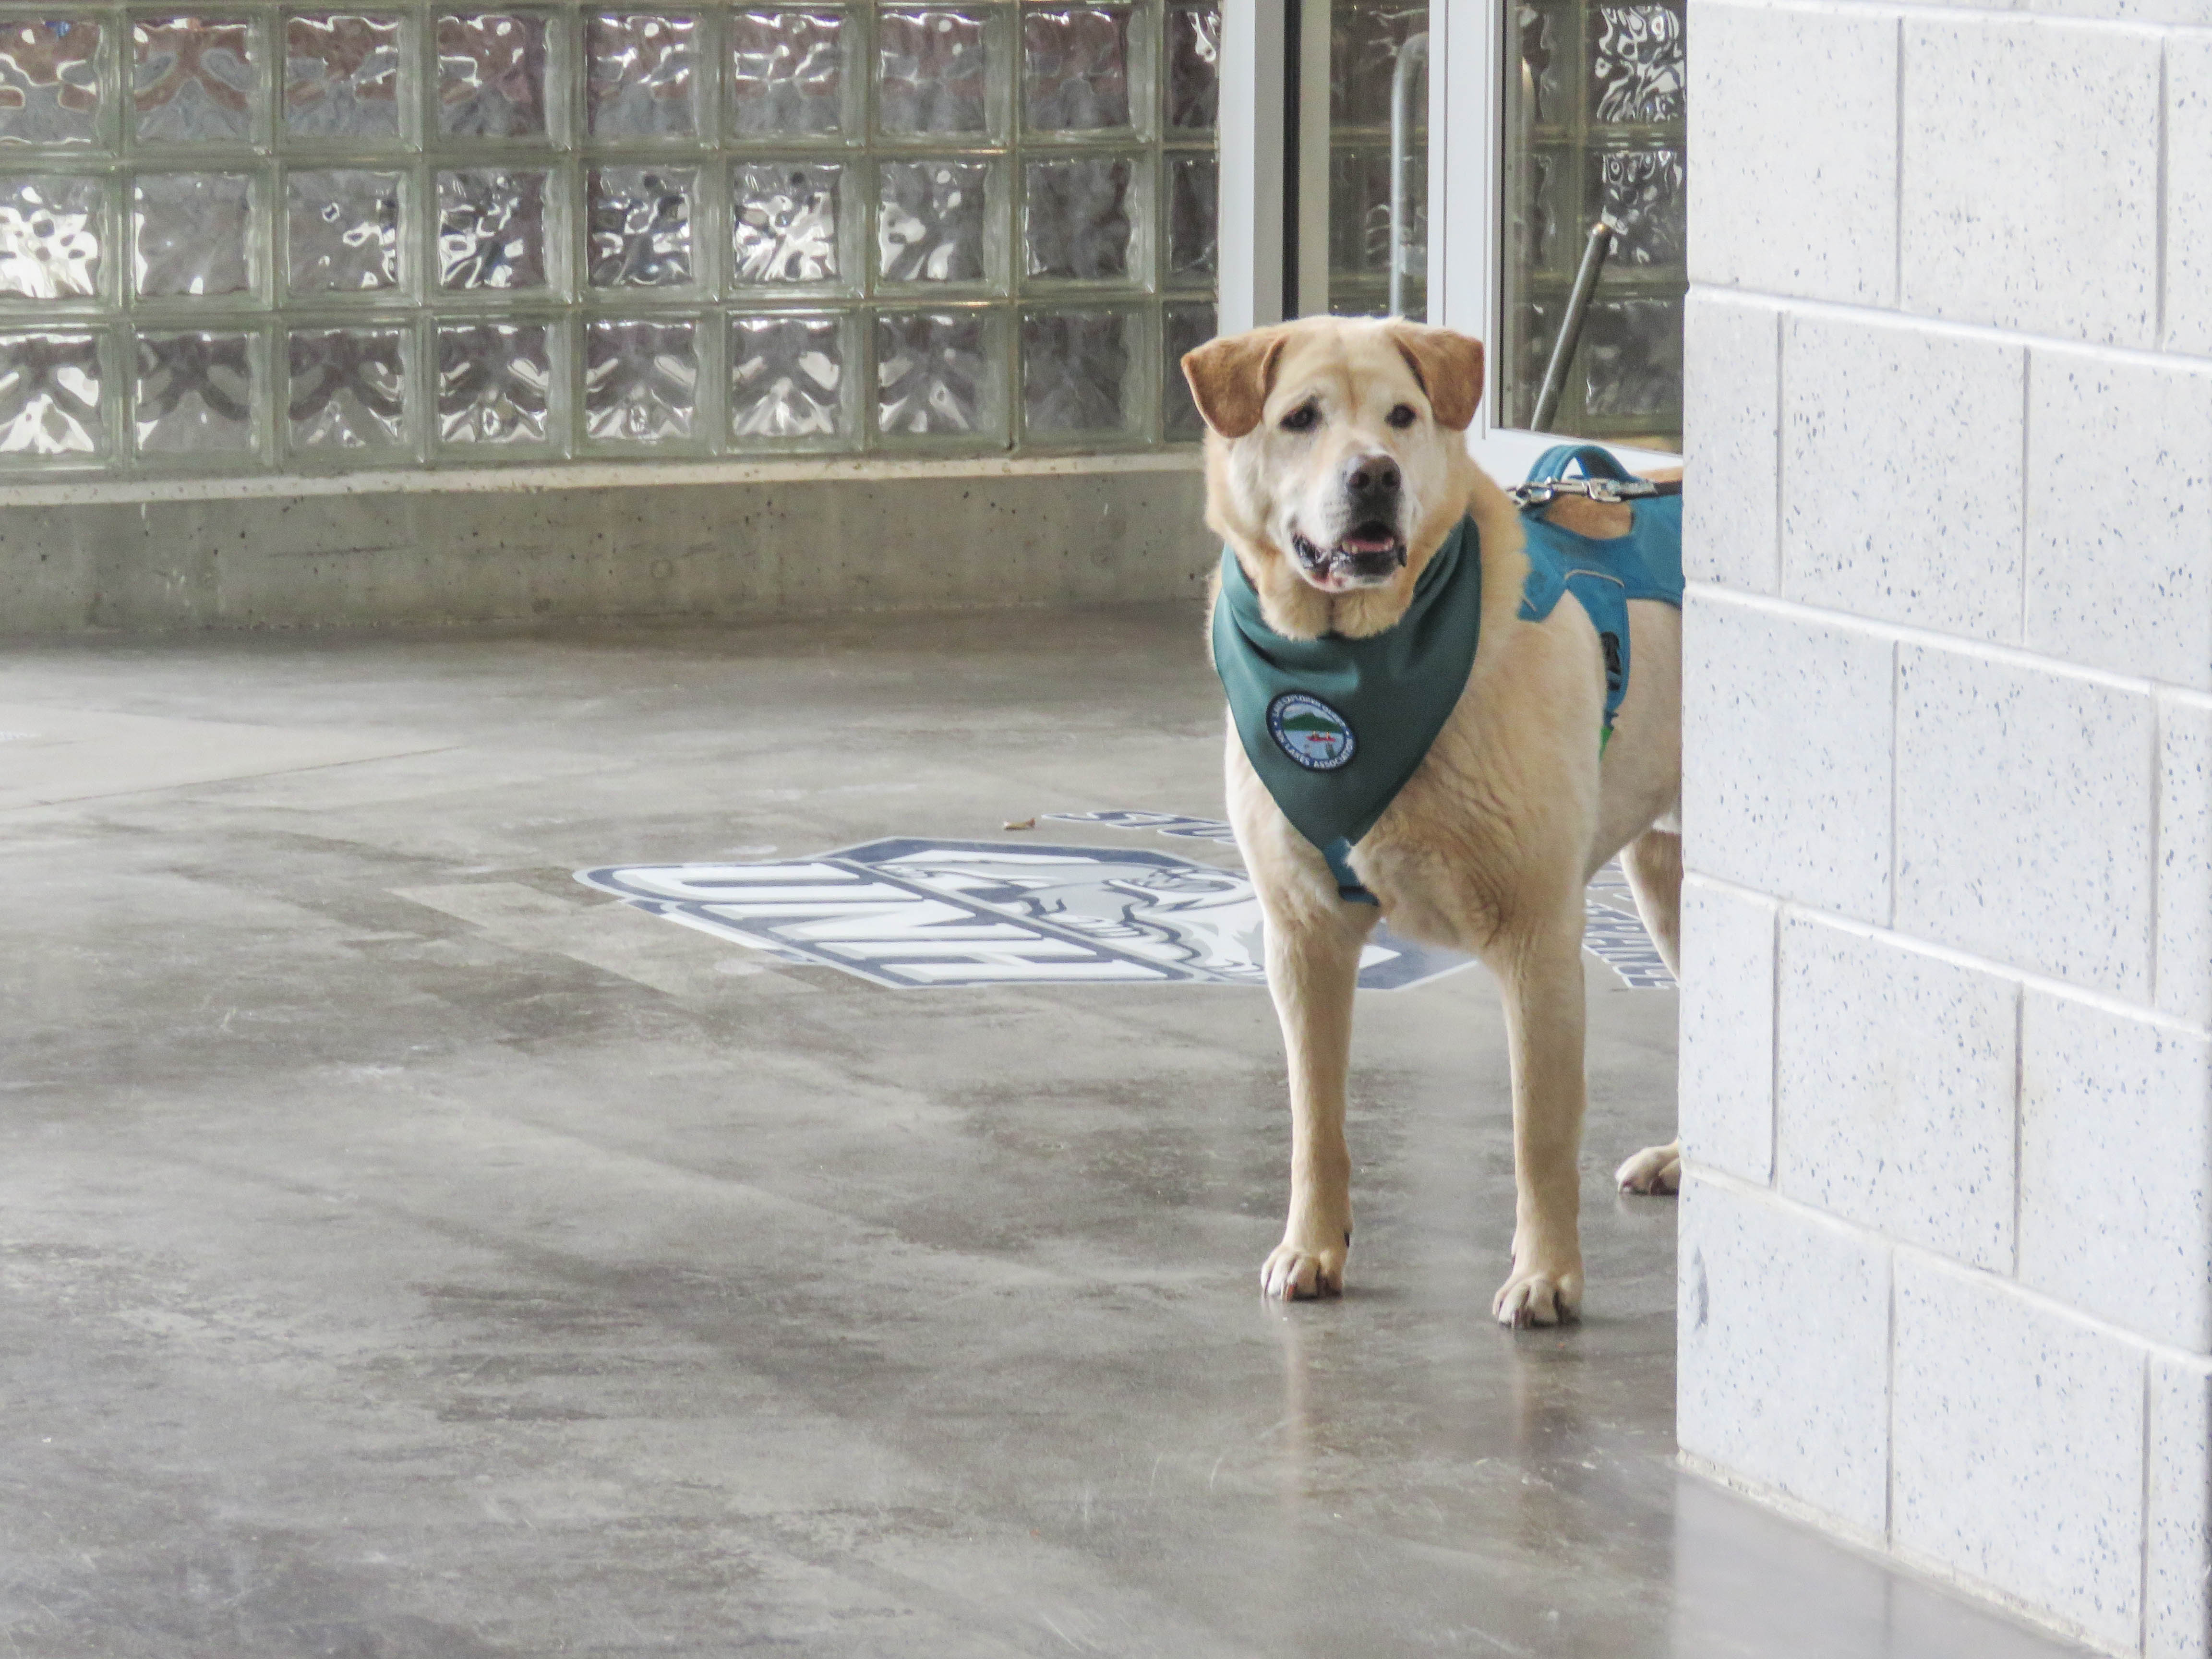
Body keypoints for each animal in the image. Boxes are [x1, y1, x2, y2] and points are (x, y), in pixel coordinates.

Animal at [1182, 316, 1683, 1327]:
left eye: (1401, 416)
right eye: (1301, 418)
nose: (1374, 475)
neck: (1355, 660)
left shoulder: (1537, 937)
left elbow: (1538, 1131)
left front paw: (1546, 1274)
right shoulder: (1302, 937)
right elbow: (1314, 1119)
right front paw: (1312, 1246)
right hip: (1667, 880)